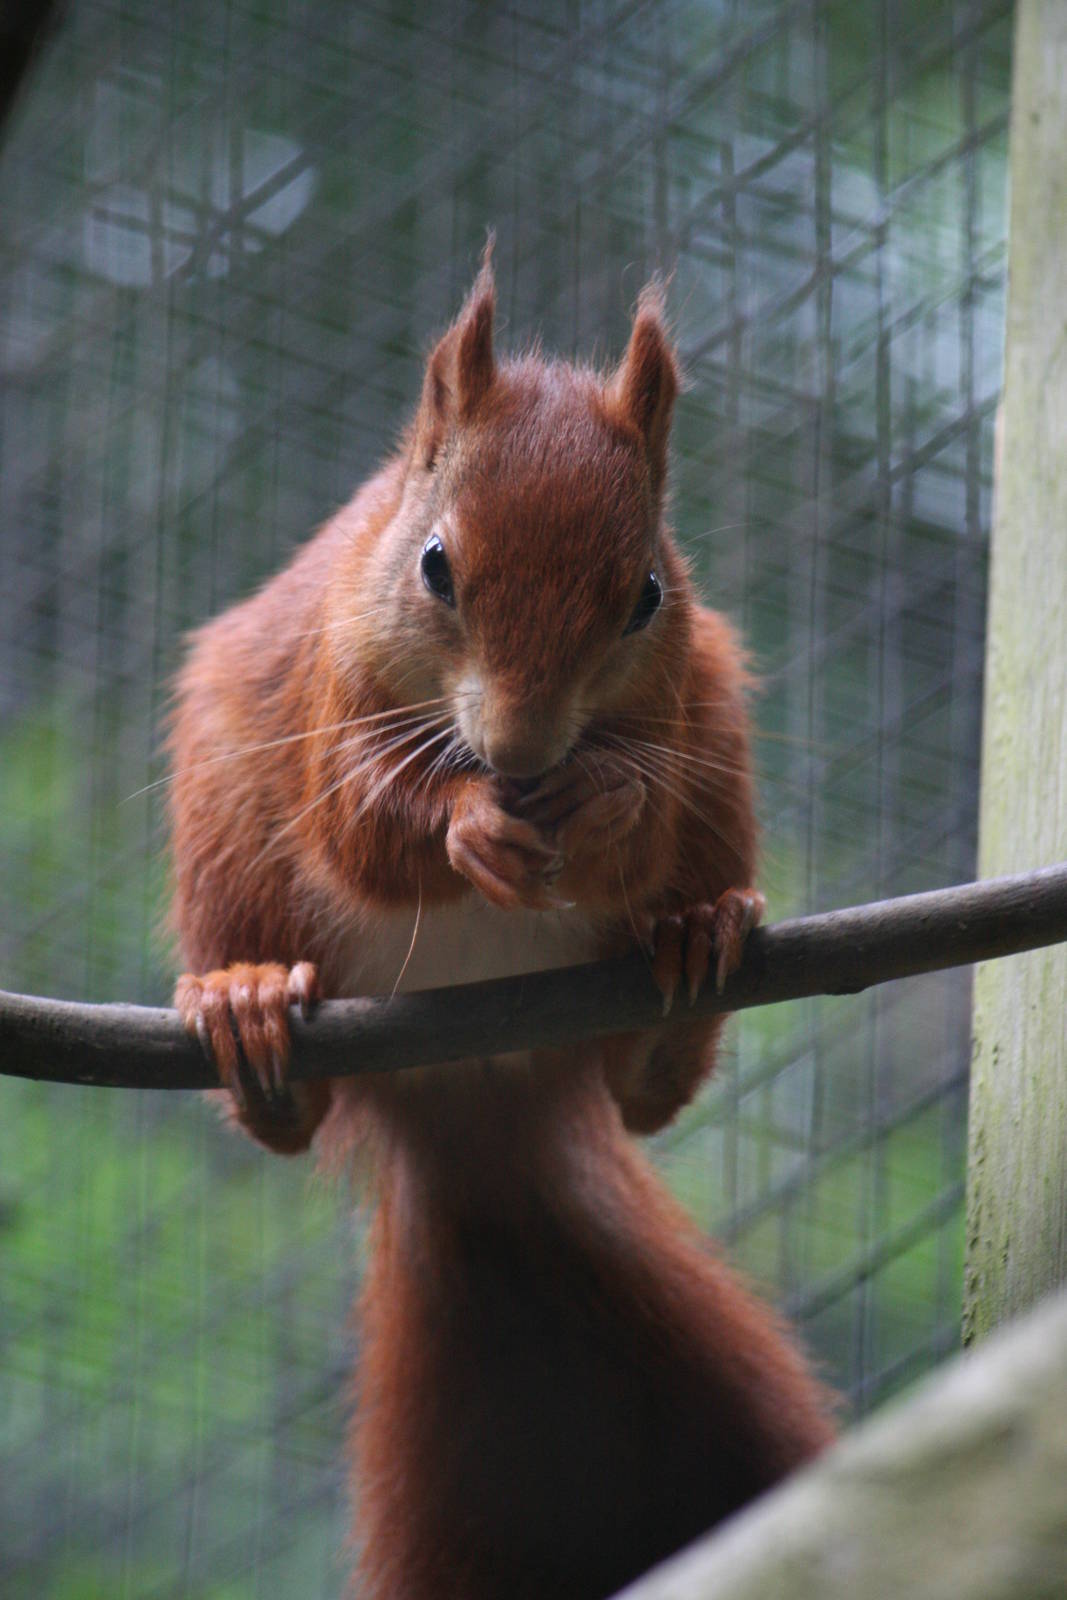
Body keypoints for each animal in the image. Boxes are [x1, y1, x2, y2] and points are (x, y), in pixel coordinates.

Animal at [169, 244, 837, 1600]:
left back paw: (692, 948)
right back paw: (249, 1008)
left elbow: (646, 802)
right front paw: (464, 827)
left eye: (644, 594)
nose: (522, 751)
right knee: (282, 1111)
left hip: (724, 753)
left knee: (643, 1093)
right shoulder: (326, 687)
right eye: (433, 566)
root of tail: (476, 1111)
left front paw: (606, 803)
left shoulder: (685, 693)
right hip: (221, 820)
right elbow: (361, 823)